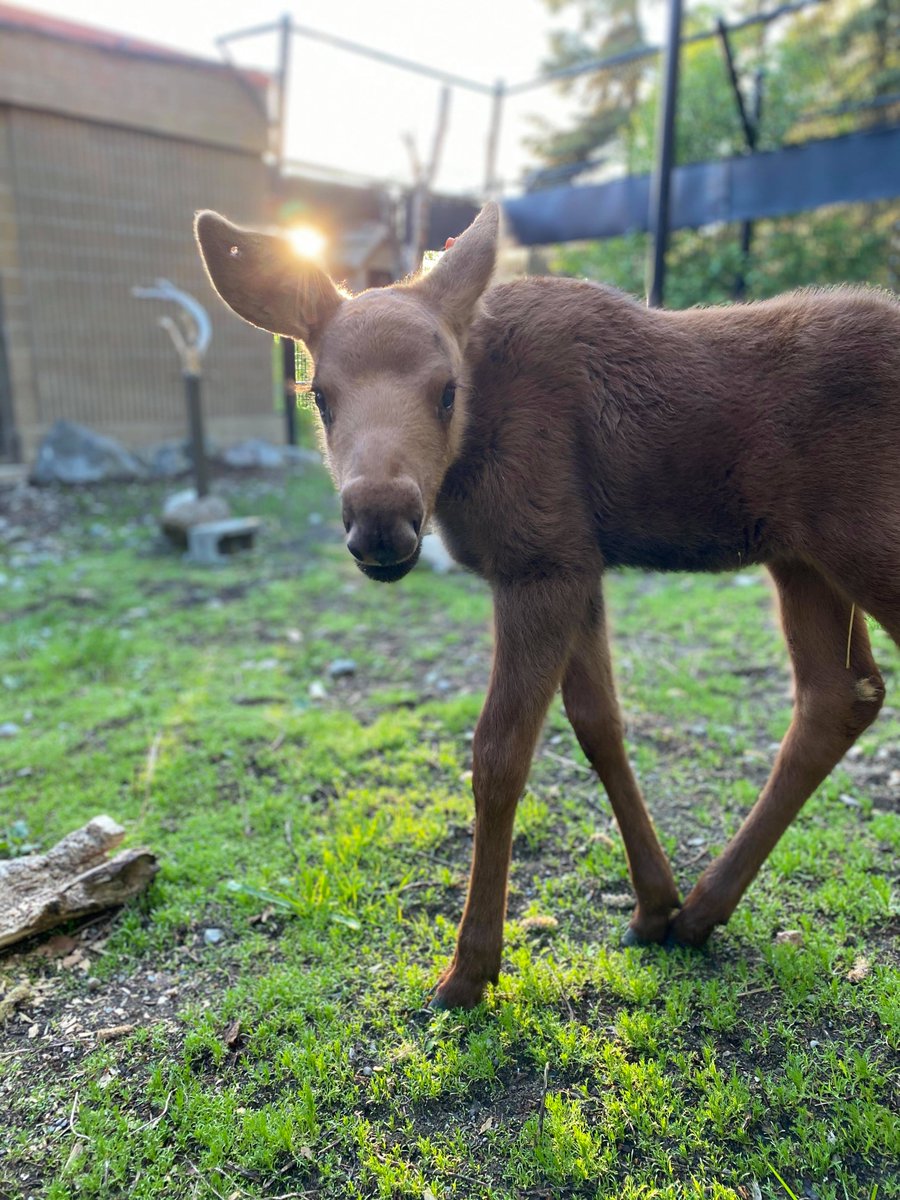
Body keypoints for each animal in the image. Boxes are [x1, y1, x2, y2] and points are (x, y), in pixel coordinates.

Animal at [195, 202, 899, 1010]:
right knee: (839, 695)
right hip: (805, 558)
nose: (380, 521)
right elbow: (599, 723)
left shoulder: (539, 565)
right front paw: (654, 904)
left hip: (862, 545)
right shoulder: (577, 564)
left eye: (446, 390)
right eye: (320, 396)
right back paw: (703, 909)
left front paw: (470, 968)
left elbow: (499, 755)